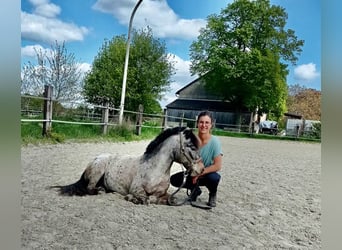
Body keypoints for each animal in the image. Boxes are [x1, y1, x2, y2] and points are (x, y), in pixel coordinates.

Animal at [49, 127, 202, 205]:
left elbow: (169, 198)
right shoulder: (137, 190)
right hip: (98, 171)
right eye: (191, 146)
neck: (155, 170)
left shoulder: (163, 192)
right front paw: (132, 198)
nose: (201, 169)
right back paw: (100, 191)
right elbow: (147, 199)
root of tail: (95, 159)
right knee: (89, 188)